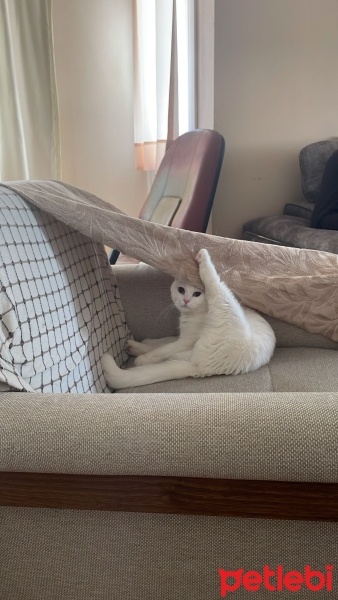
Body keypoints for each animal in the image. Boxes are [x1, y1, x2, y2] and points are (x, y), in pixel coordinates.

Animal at [101, 247, 276, 390]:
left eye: (197, 294)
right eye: (181, 290)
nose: (185, 300)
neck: (193, 315)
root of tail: (203, 368)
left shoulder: (185, 340)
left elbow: (160, 350)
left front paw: (144, 357)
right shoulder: (182, 337)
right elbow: (160, 343)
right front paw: (142, 345)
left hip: (225, 300)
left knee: (213, 280)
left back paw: (203, 256)